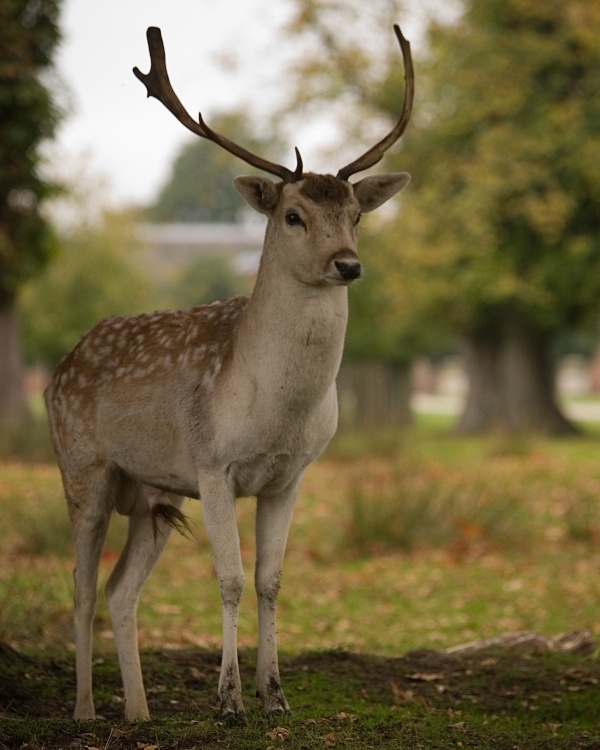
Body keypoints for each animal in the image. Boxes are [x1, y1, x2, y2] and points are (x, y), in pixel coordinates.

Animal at [44, 23, 414, 722]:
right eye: (293, 216)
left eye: (356, 215)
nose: (348, 264)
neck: (276, 412)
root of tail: (61, 367)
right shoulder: (213, 464)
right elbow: (231, 578)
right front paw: (229, 699)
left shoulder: (289, 476)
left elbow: (271, 579)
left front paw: (276, 696)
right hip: (82, 466)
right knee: (80, 584)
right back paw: (84, 709)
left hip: (152, 494)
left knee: (120, 589)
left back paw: (139, 711)